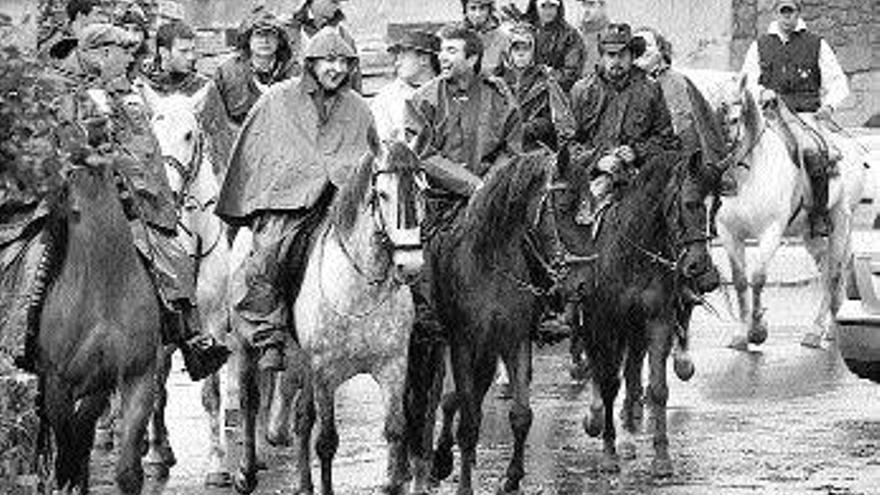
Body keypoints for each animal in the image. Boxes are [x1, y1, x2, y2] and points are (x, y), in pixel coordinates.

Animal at [688, 70, 868, 348]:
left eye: (734, 119)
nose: (719, 177)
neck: (748, 176)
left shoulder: (770, 231)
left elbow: (758, 277)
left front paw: (757, 330)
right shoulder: (730, 233)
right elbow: (740, 281)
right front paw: (741, 333)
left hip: (841, 222)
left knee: (834, 274)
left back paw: (819, 330)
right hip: (812, 233)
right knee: (826, 270)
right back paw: (826, 328)